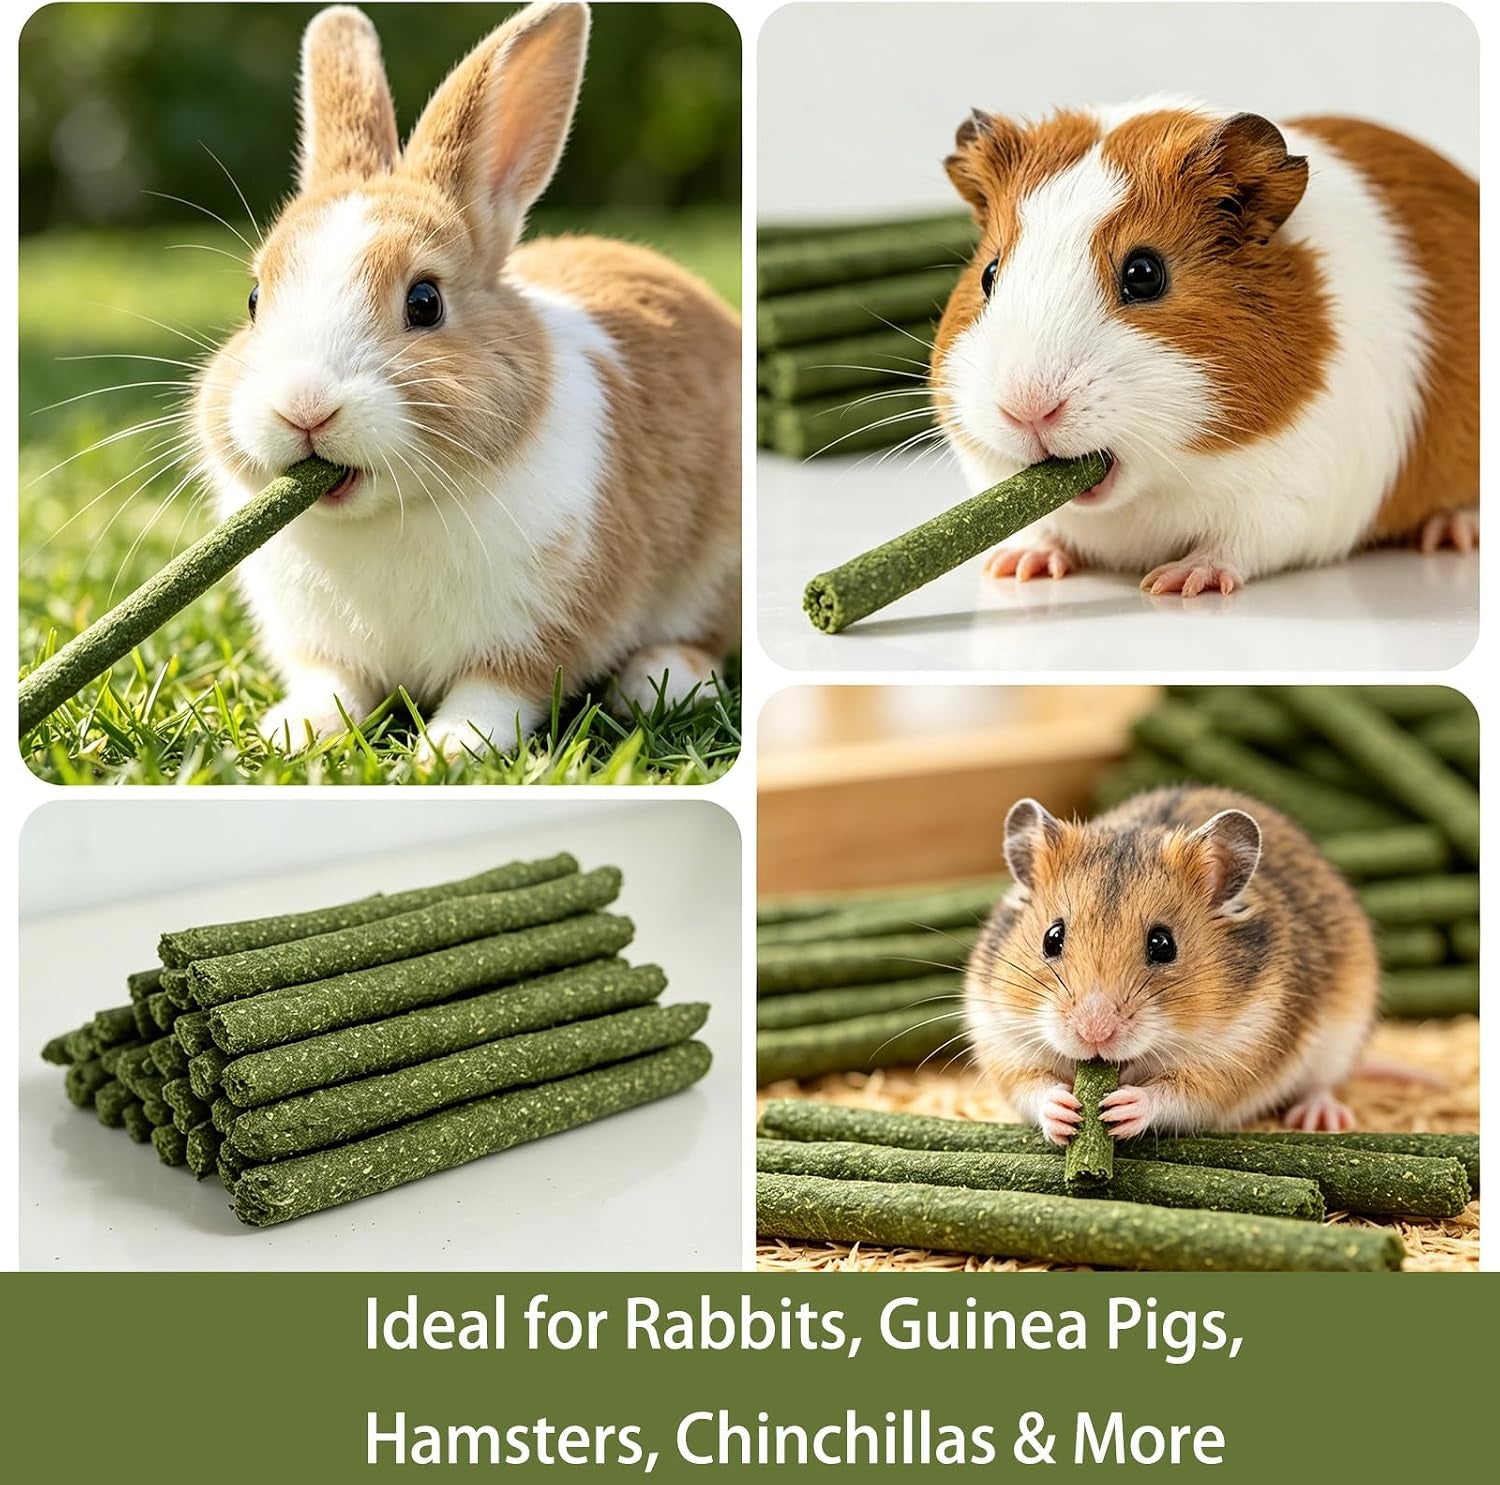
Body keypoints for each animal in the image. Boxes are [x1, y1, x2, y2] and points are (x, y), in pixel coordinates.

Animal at [192, 2, 740, 759]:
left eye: (425, 302)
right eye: (253, 300)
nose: (305, 408)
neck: (389, 514)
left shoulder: (538, 632)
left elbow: (497, 694)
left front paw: (446, 751)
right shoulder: (323, 648)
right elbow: (333, 687)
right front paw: (292, 731)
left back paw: (663, 679)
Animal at [931, 100, 1478, 595]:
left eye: (1144, 274)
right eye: (990, 273)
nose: (1027, 409)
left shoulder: (1294, 497)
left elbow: (1234, 546)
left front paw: (1176, 582)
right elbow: (1042, 530)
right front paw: (1016, 566)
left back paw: (1450, 533)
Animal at [964, 785, 1379, 1141]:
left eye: (1163, 945)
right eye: (1052, 938)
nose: (1094, 1033)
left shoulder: (1234, 1056)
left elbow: (1175, 1096)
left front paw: (1123, 1107)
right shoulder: (1001, 1040)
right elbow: (1033, 1087)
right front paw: (1063, 1110)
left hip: (1341, 1037)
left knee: (1321, 1084)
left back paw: (1320, 1118)